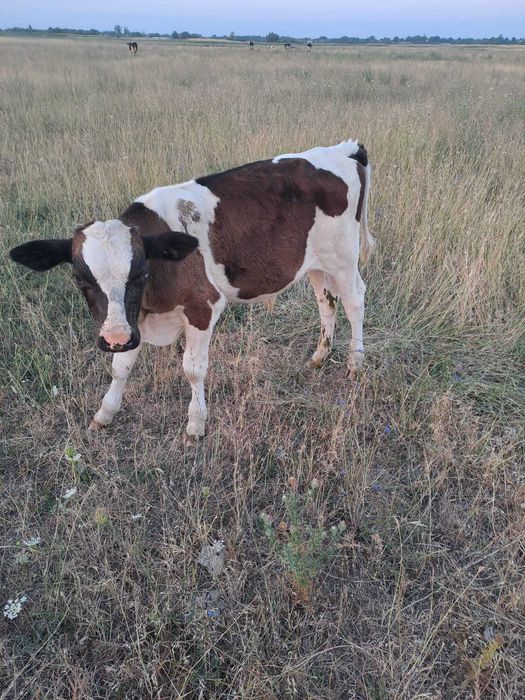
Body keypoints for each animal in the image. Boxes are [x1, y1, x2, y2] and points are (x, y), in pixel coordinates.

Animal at [10, 141, 373, 443]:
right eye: (80, 280)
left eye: (140, 274)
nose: (114, 338)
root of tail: (344, 148)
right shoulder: (132, 320)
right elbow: (120, 367)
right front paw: (105, 412)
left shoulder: (203, 306)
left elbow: (192, 368)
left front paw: (196, 423)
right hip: (314, 263)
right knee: (326, 302)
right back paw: (319, 356)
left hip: (343, 258)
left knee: (355, 301)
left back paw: (355, 362)